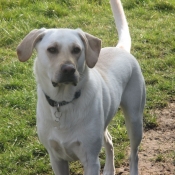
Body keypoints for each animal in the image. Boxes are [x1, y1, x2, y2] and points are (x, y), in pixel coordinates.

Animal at [16, 0, 145, 175]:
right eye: (52, 49)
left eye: (76, 49)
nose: (69, 69)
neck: (63, 102)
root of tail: (120, 49)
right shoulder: (56, 158)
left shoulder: (90, 160)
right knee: (109, 141)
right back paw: (108, 170)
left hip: (135, 119)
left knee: (134, 154)